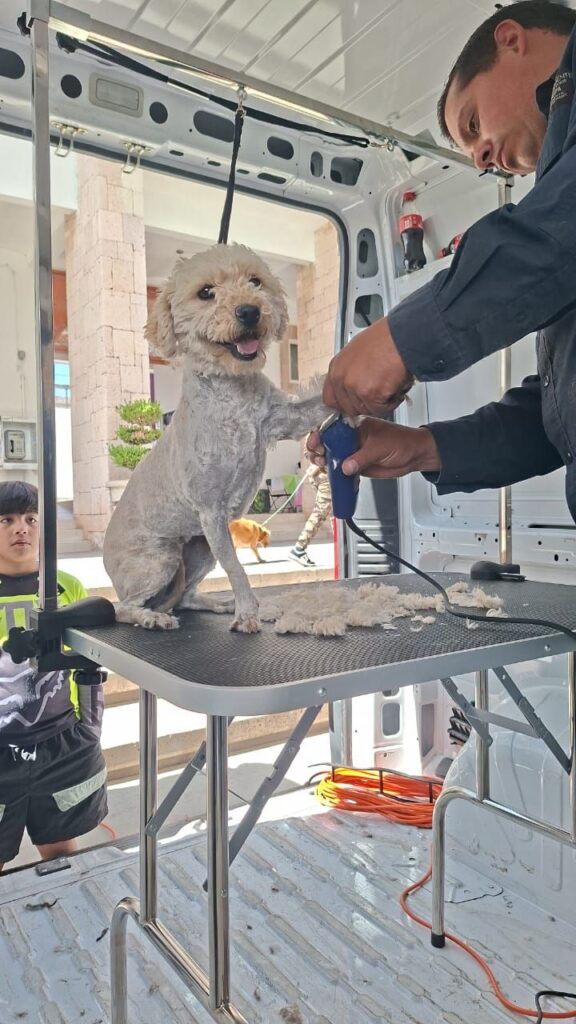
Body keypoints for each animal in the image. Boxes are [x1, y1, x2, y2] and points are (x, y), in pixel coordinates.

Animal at [103, 243, 328, 632]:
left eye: (255, 281)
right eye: (206, 292)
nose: (250, 311)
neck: (231, 392)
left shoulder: (282, 419)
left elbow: (319, 403)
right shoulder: (211, 512)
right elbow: (237, 569)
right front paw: (248, 613)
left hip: (199, 552)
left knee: (186, 598)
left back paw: (215, 604)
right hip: (161, 559)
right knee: (124, 608)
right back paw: (152, 617)